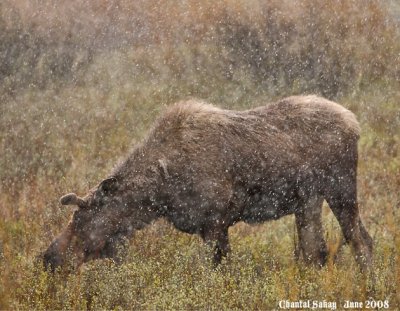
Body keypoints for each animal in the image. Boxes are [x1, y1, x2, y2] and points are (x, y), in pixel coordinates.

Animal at [42, 95, 374, 272]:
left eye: (81, 218)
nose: (48, 258)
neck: (160, 193)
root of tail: (355, 122)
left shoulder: (214, 221)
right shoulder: (216, 225)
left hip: (334, 189)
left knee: (344, 244)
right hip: (315, 199)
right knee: (346, 243)